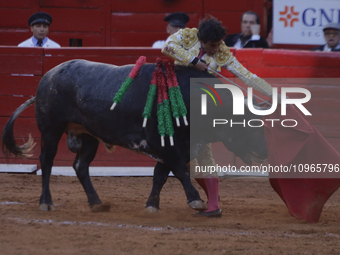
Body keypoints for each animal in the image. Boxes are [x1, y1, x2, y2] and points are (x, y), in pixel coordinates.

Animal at [1, 59, 268, 213]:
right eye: (248, 123)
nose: (264, 154)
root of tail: (48, 76)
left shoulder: (174, 147)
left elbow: (160, 175)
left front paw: (152, 205)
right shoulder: (166, 146)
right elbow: (180, 171)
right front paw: (195, 200)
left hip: (88, 136)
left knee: (80, 166)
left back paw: (96, 203)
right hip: (51, 129)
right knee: (47, 161)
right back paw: (46, 202)